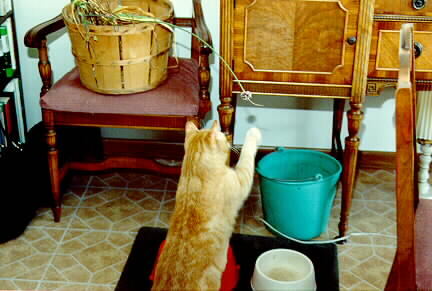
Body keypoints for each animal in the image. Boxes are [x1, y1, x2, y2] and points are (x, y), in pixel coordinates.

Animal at [152, 120, 260, 290]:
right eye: (222, 135)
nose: (228, 140)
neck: (193, 174)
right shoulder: (242, 179)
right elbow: (247, 154)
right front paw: (253, 132)